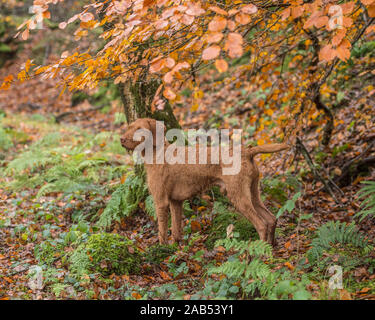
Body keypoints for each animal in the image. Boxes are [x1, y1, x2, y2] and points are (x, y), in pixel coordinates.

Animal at [121, 117, 290, 245]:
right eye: (130, 127)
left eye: (139, 129)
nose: (121, 139)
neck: (158, 152)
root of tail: (247, 151)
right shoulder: (176, 202)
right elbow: (176, 230)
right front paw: (176, 248)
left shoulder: (160, 201)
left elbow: (162, 230)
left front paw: (162, 249)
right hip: (253, 193)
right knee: (271, 219)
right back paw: (271, 248)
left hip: (238, 196)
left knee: (261, 225)